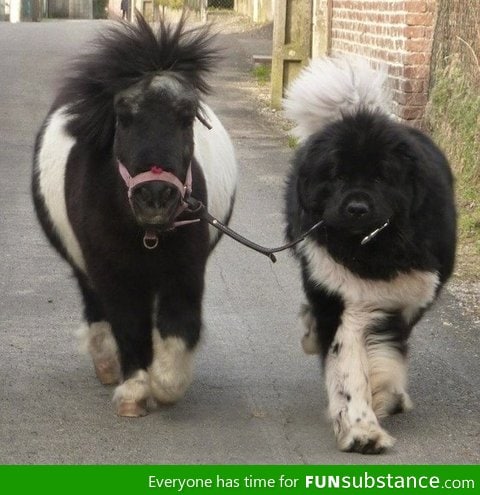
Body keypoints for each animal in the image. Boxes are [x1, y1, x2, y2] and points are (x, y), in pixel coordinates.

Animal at [31, 15, 237, 416]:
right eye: (123, 117)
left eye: (186, 117)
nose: (155, 197)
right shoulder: (112, 271)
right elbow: (128, 324)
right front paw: (135, 391)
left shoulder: (185, 271)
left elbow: (179, 325)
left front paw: (165, 384)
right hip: (86, 267)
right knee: (97, 309)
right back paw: (108, 365)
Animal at [284, 58, 458, 454]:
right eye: (336, 176)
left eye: (381, 178)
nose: (357, 208)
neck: (374, 250)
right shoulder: (344, 298)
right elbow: (349, 368)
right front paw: (362, 430)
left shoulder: (406, 297)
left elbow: (386, 356)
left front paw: (384, 397)